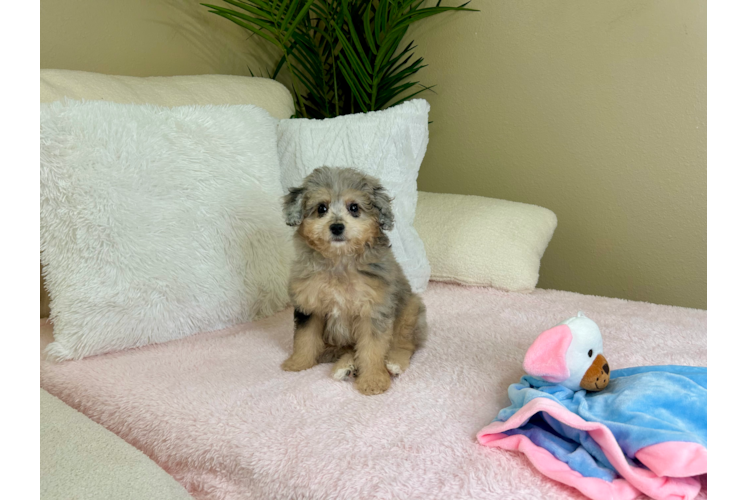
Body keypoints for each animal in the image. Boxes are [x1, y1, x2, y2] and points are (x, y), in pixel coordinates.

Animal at [282, 167, 426, 394]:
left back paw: (394, 363)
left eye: (354, 208)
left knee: (405, 344)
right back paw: (345, 366)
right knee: (348, 351)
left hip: (410, 310)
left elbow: (372, 349)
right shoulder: (310, 305)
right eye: (321, 208)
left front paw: (373, 380)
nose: (337, 227)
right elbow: (305, 338)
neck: (339, 262)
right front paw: (299, 363)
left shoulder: (373, 310)